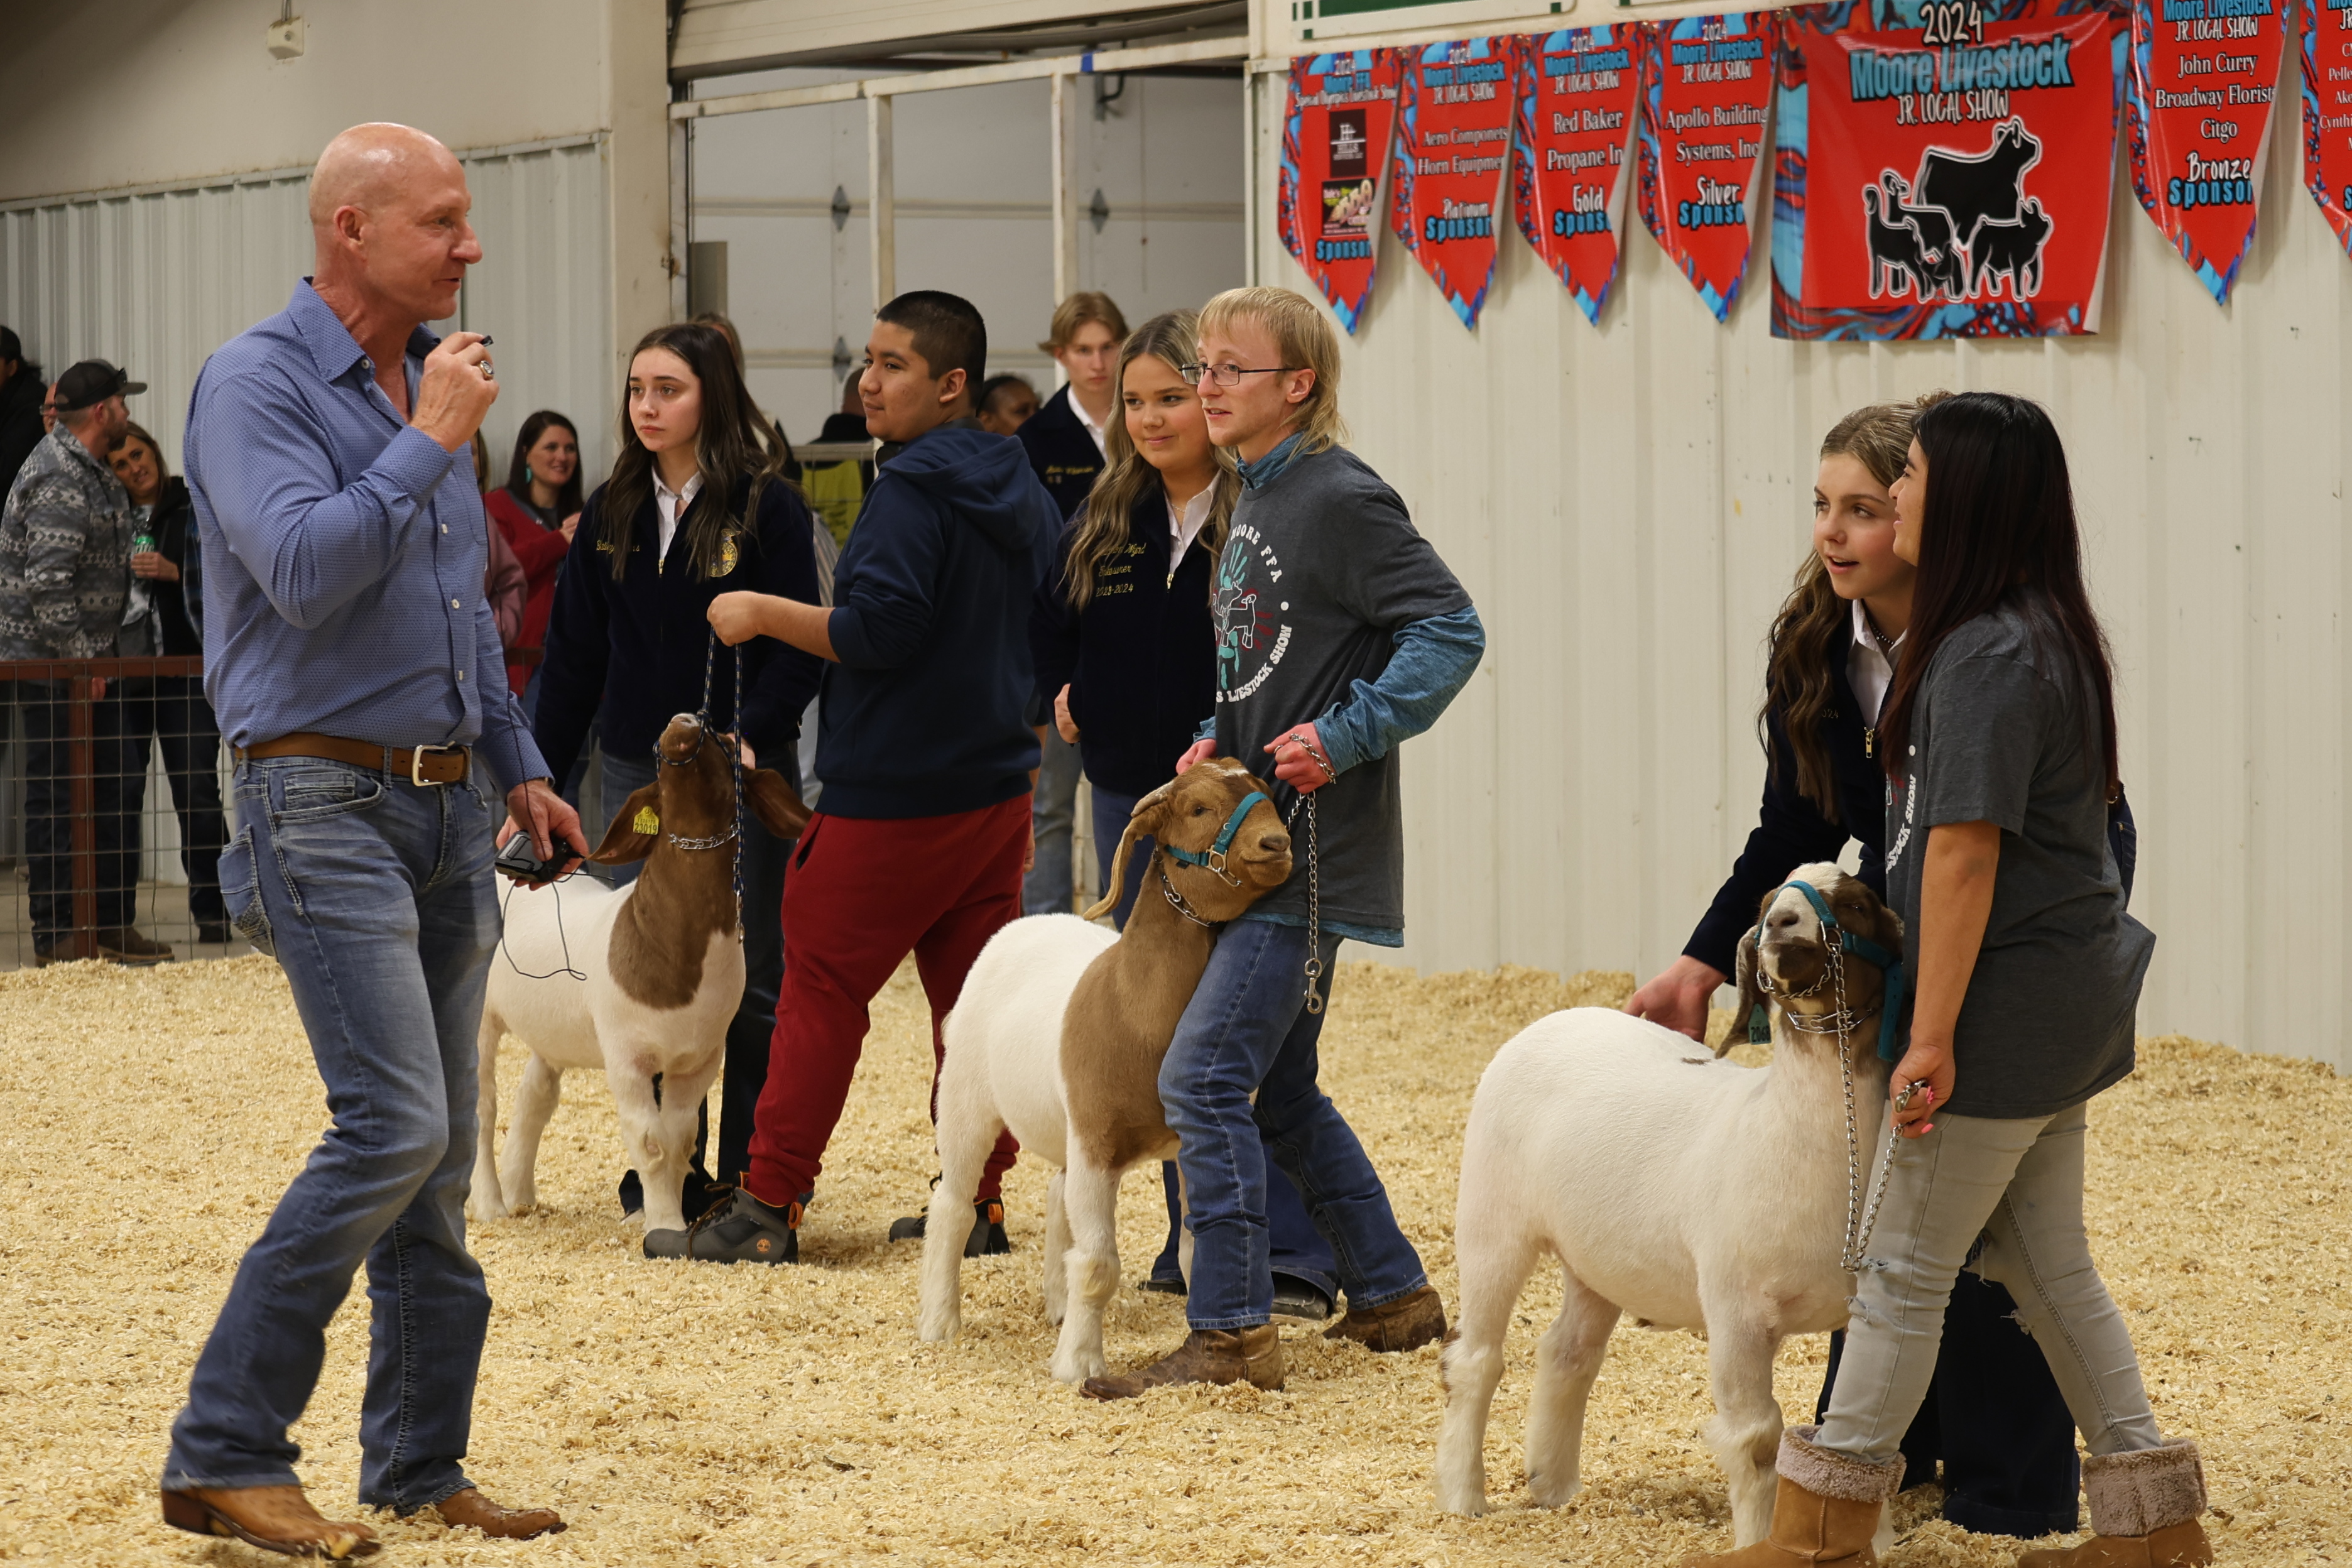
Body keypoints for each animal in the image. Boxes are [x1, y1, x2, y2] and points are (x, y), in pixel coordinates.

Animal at [470, 712, 808, 1236]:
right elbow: (651, 1144)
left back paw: (520, 1191)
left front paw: (664, 1218)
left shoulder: (701, 1059)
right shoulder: (626, 1055)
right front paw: (664, 1225)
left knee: (535, 1095)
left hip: (555, 1028)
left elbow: (680, 1140)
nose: (684, 719)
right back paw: (490, 1204)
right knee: (483, 1107)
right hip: (481, 1015)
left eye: (726, 742)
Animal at [916, 757, 1291, 1383]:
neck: (1132, 1003)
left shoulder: (1178, 1140)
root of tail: (1026, 921)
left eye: (1265, 792)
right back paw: (939, 1323)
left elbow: (1190, 1251)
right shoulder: (1096, 1142)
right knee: (952, 1205)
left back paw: (1056, 1305)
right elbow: (1098, 1265)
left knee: (1054, 1194)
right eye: (1198, 809)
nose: (1278, 843)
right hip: (966, 1095)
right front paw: (1079, 1365)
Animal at [1434, 863, 1903, 1553]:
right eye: (1766, 903)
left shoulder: (1863, 1309)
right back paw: (1464, 1497)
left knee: (1567, 1351)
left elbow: (1869, 1437)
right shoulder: (1736, 1310)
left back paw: (1553, 1485)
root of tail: (1557, 1017)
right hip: (1492, 1221)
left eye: (1857, 903)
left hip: (1597, 1258)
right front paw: (1757, 1541)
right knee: (1474, 1360)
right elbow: (1757, 1441)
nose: (1783, 925)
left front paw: (1880, 1541)